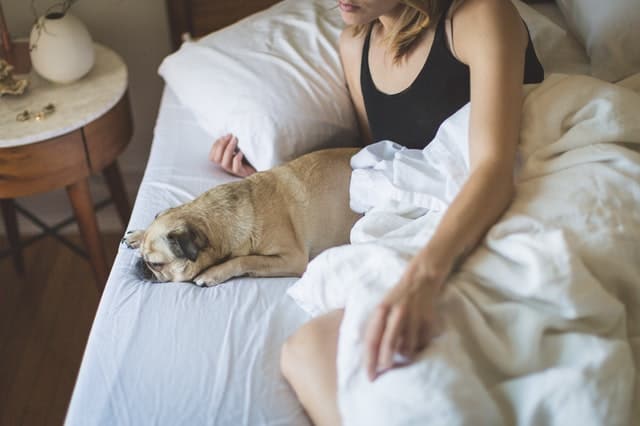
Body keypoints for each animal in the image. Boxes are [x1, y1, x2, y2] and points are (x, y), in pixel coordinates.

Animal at [120, 148, 360, 288]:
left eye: (155, 264)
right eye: (143, 258)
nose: (139, 265)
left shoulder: (292, 258)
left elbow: (246, 259)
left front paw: (213, 273)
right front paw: (138, 235)